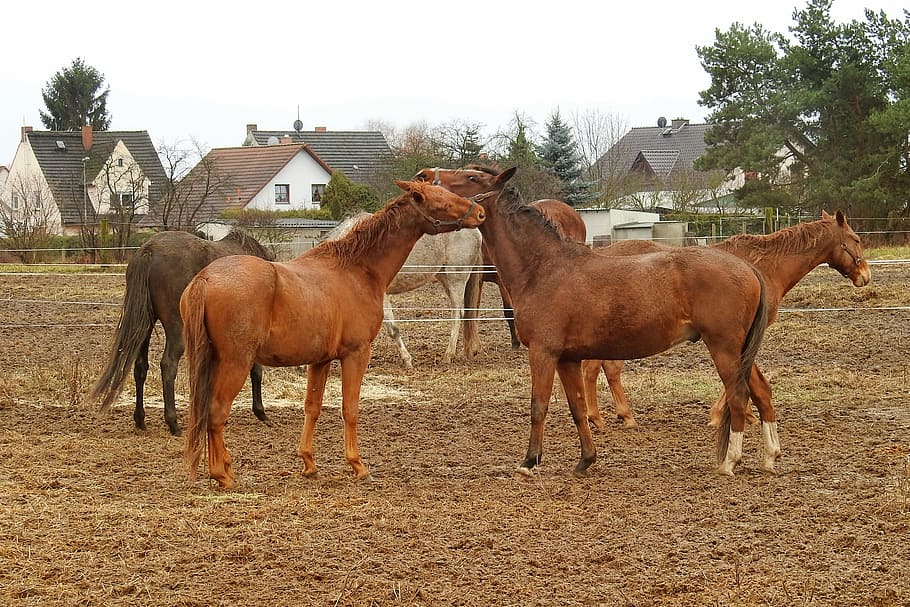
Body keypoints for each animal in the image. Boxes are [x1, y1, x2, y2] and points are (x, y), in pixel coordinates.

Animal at [91, 228, 274, 435]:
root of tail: (149, 250)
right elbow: (256, 370)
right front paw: (260, 412)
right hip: (176, 328)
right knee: (168, 364)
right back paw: (173, 423)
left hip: (145, 325)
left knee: (140, 366)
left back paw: (140, 419)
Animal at [326, 212, 483, 367]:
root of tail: (476, 231)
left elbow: (393, 329)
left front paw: (407, 360)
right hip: (444, 278)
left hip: (456, 278)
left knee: (456, 315)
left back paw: (448, 355)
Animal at [416, 165, 769, 477]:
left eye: (471, 177)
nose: (424, 176)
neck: (543, 268)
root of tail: (748, 268)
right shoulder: (567, 358)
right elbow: (576, 407)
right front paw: (586, 459)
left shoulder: (543, 352)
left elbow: (538, 406)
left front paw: (529, 462)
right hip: (739, 351)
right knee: (761, 391)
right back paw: (770, 457)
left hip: (724, 348)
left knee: (739, 396)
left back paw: (730, 462)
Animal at [582, 212, 872, 448]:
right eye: (856, 239)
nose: (865, 276)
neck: (763, 267)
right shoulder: (736, 337)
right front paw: (726, 414)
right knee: (594, 369)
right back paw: (601, 418)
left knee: (606, 370)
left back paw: (618, 416)